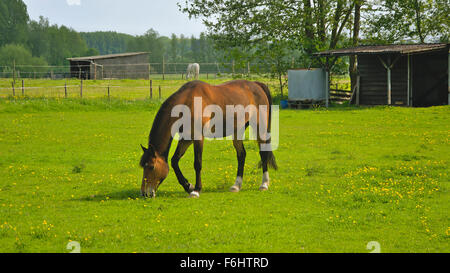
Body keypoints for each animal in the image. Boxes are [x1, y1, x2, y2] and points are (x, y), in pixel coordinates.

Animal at [139, 79, 276, 198]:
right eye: (143, 166)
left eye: (151, 167)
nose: (145, 193)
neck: (187, 102)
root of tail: (256, 85)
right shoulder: (186, 139)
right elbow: (174, 161)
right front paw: (188, 186)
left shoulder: (198, 138)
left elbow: (197, 163)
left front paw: (196, 190)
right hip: (238, 130)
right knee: (241, 155)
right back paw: (236, 186)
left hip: (259, 127)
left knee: (263, 153)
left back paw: (264, 184)